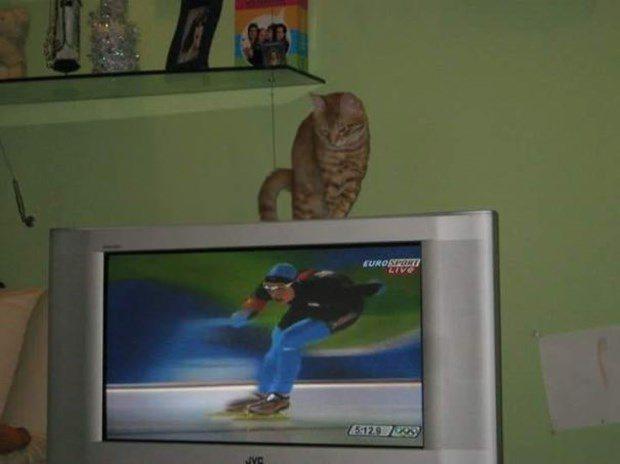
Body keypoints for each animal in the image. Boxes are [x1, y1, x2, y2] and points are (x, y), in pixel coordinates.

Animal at [259, 92, 370, 221]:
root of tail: (293, 178)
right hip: (304, 201)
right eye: (325, 131)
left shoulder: (354, 176)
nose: (332, 141)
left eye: (342, 128)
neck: (343, 152)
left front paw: (339, 213)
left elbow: (345, 199)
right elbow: (332, 198)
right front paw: (332, 215)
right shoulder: (329, 176)